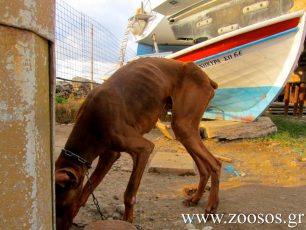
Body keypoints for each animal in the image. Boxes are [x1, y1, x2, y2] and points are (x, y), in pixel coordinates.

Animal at [55, 57, 220, 228]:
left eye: (62, 206)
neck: (92, 123)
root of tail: (207, 78)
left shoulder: (143, 149)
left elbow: (129, 194)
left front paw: (127, 221)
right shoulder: (109, 155)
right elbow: (86, 191)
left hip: (183, 125)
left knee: (216, 164)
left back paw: (210, 206)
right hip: (185, 132)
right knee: (204, 168)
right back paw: (196, 198)